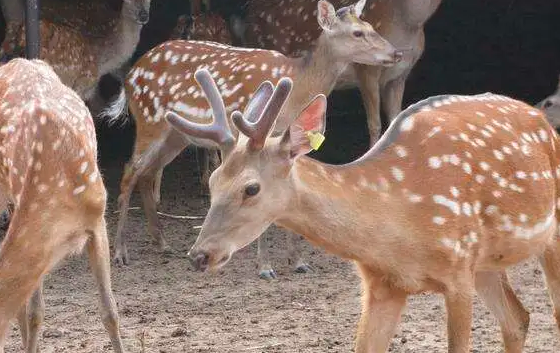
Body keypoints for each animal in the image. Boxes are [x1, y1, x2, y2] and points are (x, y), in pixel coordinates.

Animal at [103, 0, 402, 276]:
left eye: (371, 26)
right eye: (357, 33)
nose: (396, 53)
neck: (298, 85)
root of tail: (129, 77)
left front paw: (298, 262)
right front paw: (265, 266)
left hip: (176, 134)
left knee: (146, 173)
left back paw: (162, 243)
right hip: (149, 120)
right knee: (130, 172)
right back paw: (120, 253)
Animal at [168, 68, 560, 352]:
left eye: (251, 188)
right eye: (213, 181)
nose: (199, 255)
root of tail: (543, 120)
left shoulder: (457, 268)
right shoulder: (382, 284)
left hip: (545, 236)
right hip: (486, 263)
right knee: (517, 319)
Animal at [230, 0, 444, 146]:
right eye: (358, 33)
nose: (396, 53)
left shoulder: (400, 76)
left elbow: (396, 118)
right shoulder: (366, 71)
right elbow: (374, 123)